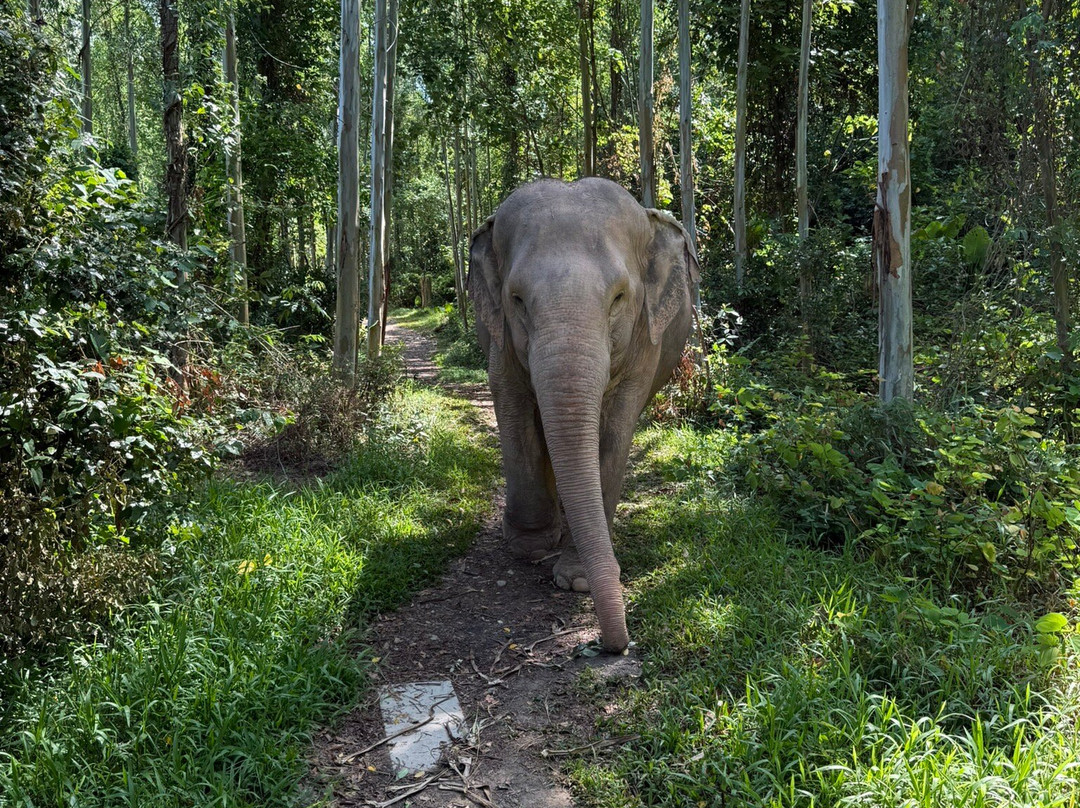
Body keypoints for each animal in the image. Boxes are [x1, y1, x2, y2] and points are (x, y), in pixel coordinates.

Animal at [468, 177, 699, 653]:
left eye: (619, 298)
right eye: (517, 299)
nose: (615, 645)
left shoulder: (645, 343)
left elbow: (615, 430)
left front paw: (575, 581)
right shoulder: (500, 338)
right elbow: (513, 406)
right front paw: (529, 547)